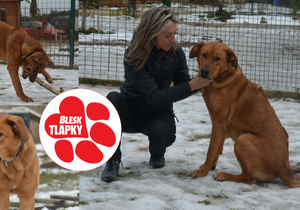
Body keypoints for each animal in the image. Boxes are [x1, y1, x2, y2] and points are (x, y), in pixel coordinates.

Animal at [190, 41, 300, 188]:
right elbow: (218, 149)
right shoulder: (222, 127)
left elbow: (211, 151)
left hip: (243, 140)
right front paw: (210, 166)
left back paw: (224, 176)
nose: (204, 71)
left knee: (249, 178)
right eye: (204, 55)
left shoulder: (219, 124)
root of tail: (285, 169)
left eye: (218, 59)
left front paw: (202, 171)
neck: (223, 79)